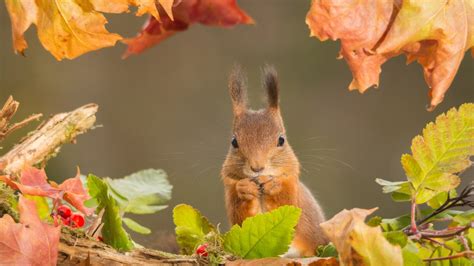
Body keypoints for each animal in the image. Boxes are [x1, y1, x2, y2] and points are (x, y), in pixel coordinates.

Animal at [220, 65, 328, 256]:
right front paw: (244, 188)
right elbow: (241, 219)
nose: (257, 168)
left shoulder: (293, 191)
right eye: (234, 142)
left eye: (281, 140)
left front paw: (274, 185)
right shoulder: (230, 192)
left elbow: (288, 204)